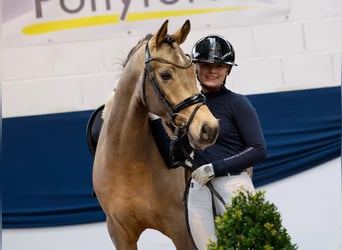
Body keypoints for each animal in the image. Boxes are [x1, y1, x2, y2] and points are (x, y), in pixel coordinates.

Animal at [91, 20, 219, 250]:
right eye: (165, 75)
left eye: (193, 73)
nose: (208, 127)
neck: (125, 159)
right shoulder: (120, 234)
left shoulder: (181, 229)